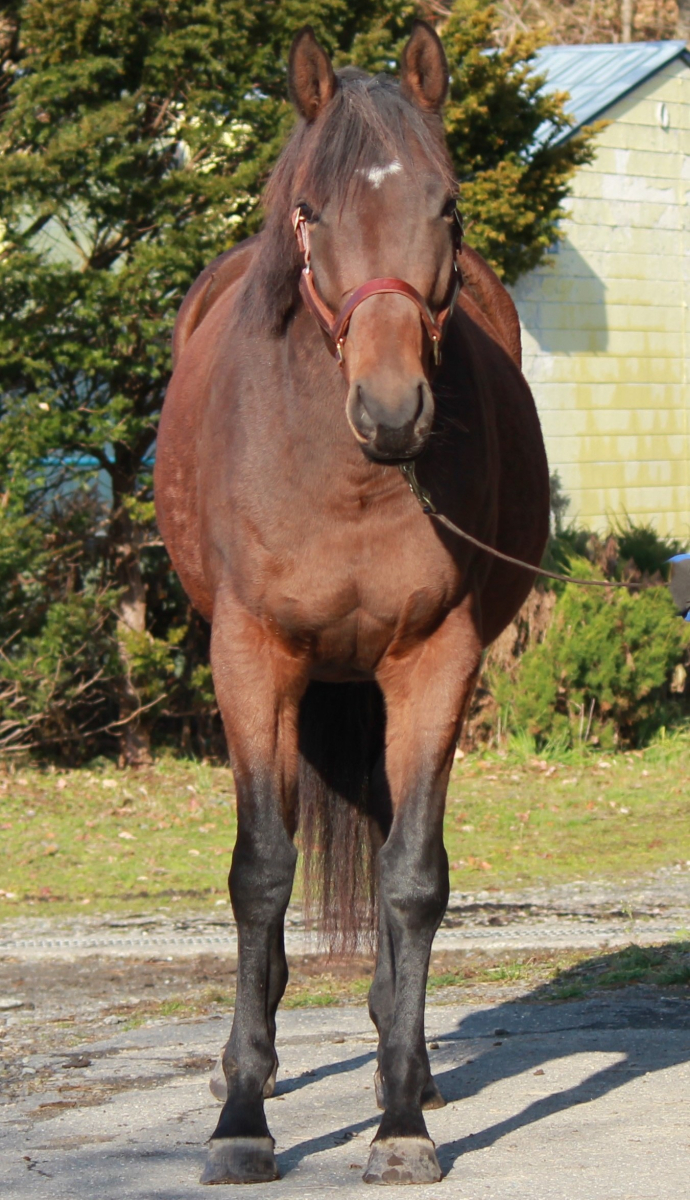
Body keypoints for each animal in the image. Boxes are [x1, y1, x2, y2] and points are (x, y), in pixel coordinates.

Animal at [154, 20, 549, 1187]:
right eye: (314, 213)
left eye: (447, 205)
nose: (390, 409)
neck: (343, 471)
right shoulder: (251, 656)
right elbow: (259, 872)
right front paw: (243, 1117)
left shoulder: (434, 660)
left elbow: (410, 878)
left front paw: (403, 1122)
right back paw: (249, 1066)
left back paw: (397, 1067)